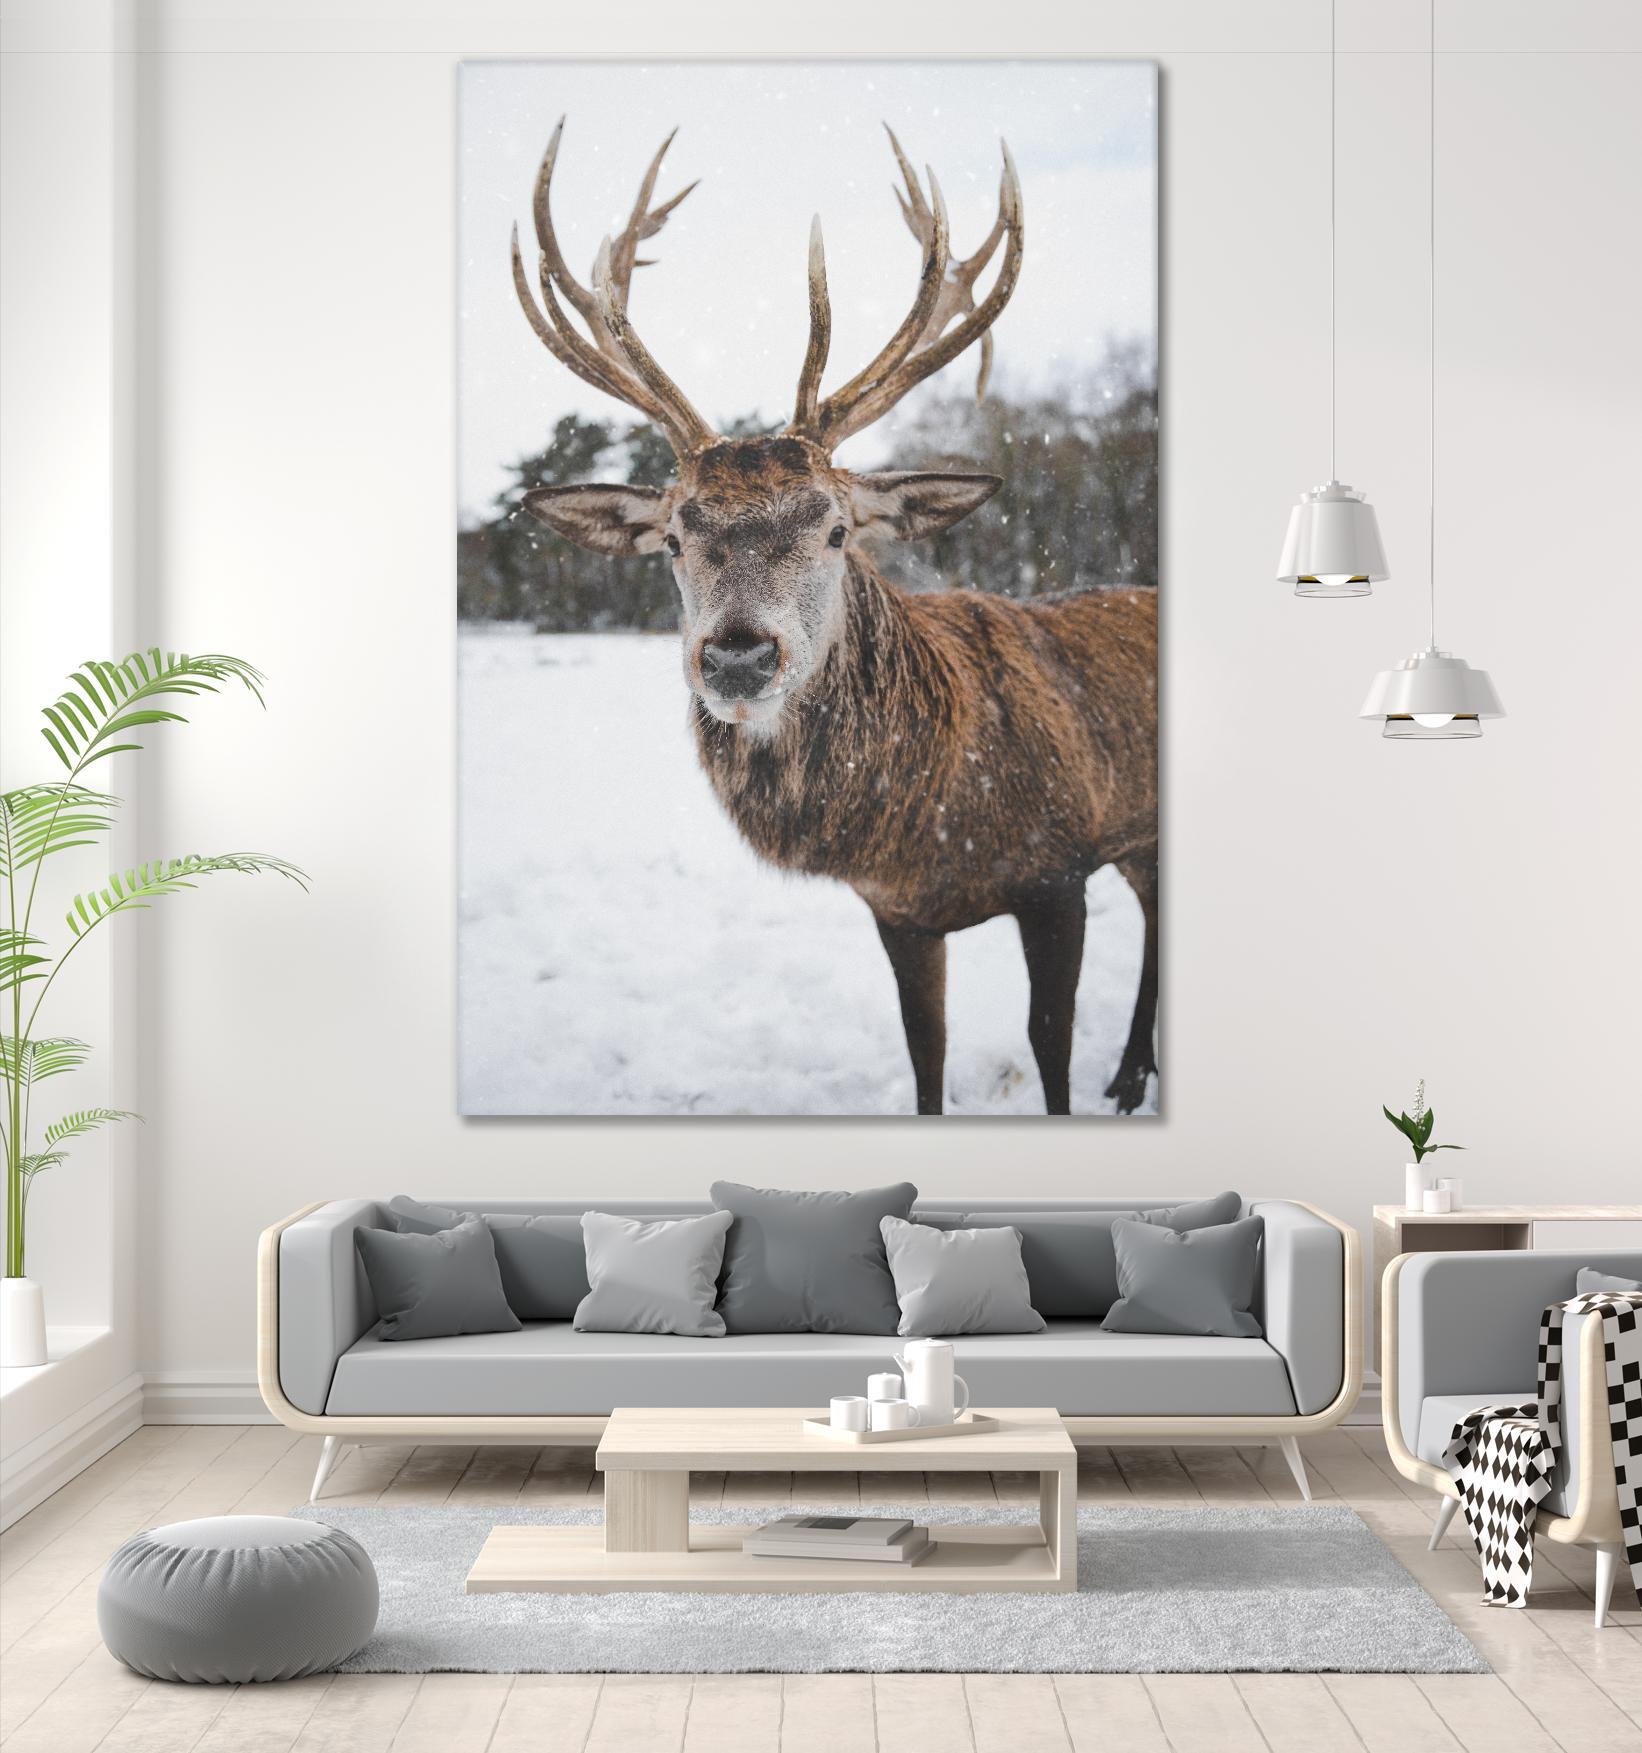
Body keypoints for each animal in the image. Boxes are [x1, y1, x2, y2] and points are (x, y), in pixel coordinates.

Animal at [509, 119, 1158, 1115]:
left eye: (837, 527)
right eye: (673, 537)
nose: (738, 657)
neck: (934, 825)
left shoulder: (1060, 869)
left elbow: (1049, 1048)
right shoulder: (897, 911)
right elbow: (925, 1051)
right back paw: (1129, 1073)